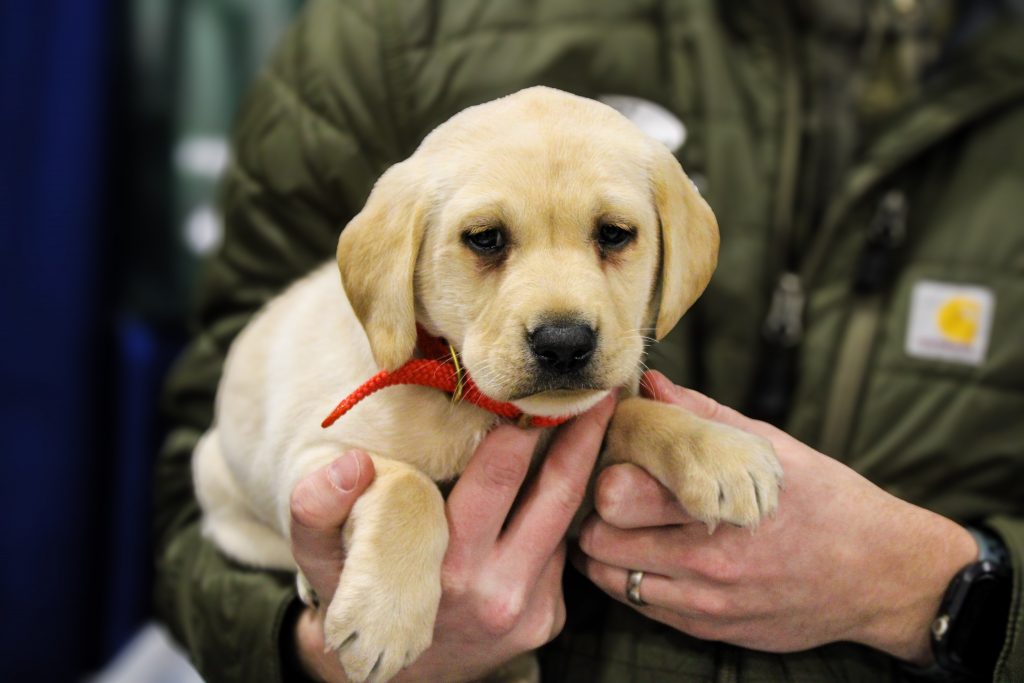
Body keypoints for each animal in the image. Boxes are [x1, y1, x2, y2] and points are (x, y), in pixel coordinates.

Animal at [193, 88, 782, 683]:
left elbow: (628, 411)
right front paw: (385, 617)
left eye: (614, 234)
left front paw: (717, 451)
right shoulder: (316, 456)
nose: (564, 343)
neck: (477, 400)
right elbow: (410, 486)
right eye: (485, 239)